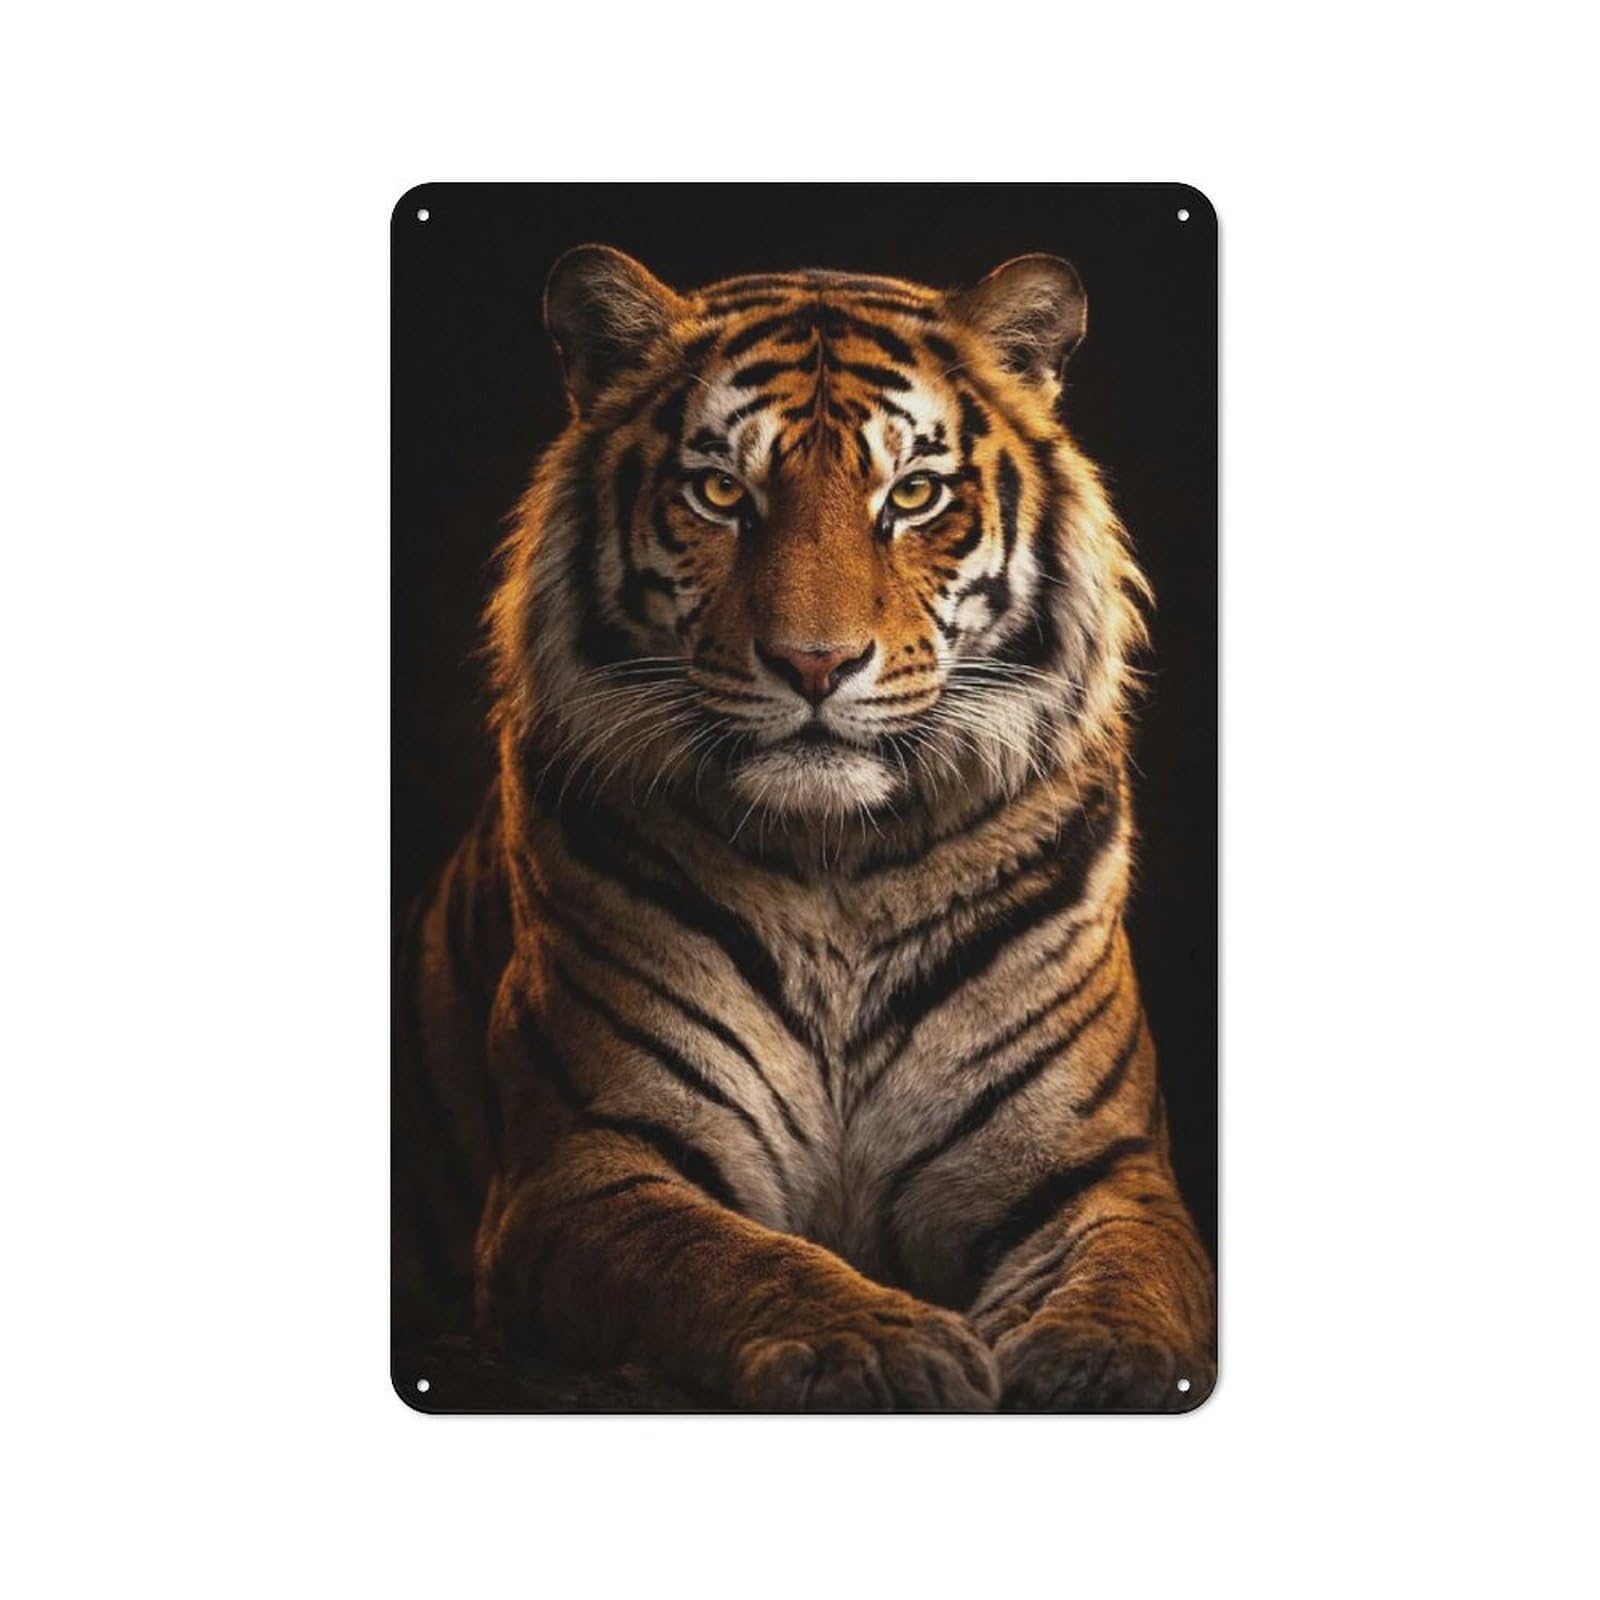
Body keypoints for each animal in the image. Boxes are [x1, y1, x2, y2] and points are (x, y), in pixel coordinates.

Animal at [393, 244, 1216, 1411]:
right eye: (719, 491)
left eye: (912, 494)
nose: (814, 663)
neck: (841, 869)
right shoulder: (584, 1164)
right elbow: (728, 1258)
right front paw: (876, 1346)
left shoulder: (1097, 1164)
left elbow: (1131, 1274)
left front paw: (1102, 1362)